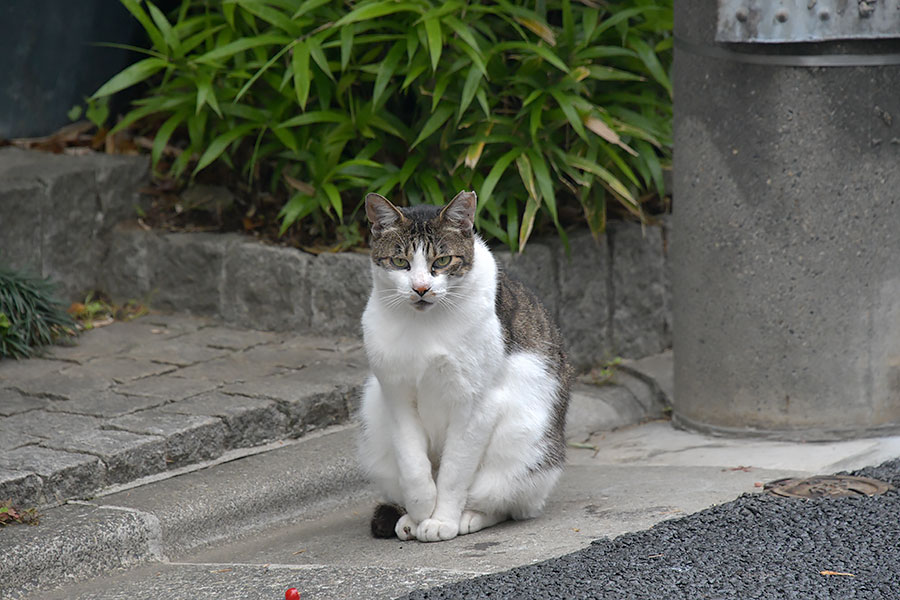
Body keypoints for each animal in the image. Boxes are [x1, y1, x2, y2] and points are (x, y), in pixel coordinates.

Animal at [356, 190, 568, 540]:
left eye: (442, 261)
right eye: (400, 262)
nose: (421, 288)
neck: (424, 326)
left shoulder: (476, 404)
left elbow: (455, 473)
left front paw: (441, 520)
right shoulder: (395, 396)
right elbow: (412, 463)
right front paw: (420, 508)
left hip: (521, 440)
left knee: (507, 503)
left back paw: (469, 518)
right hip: (374, 419)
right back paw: (408, 520)